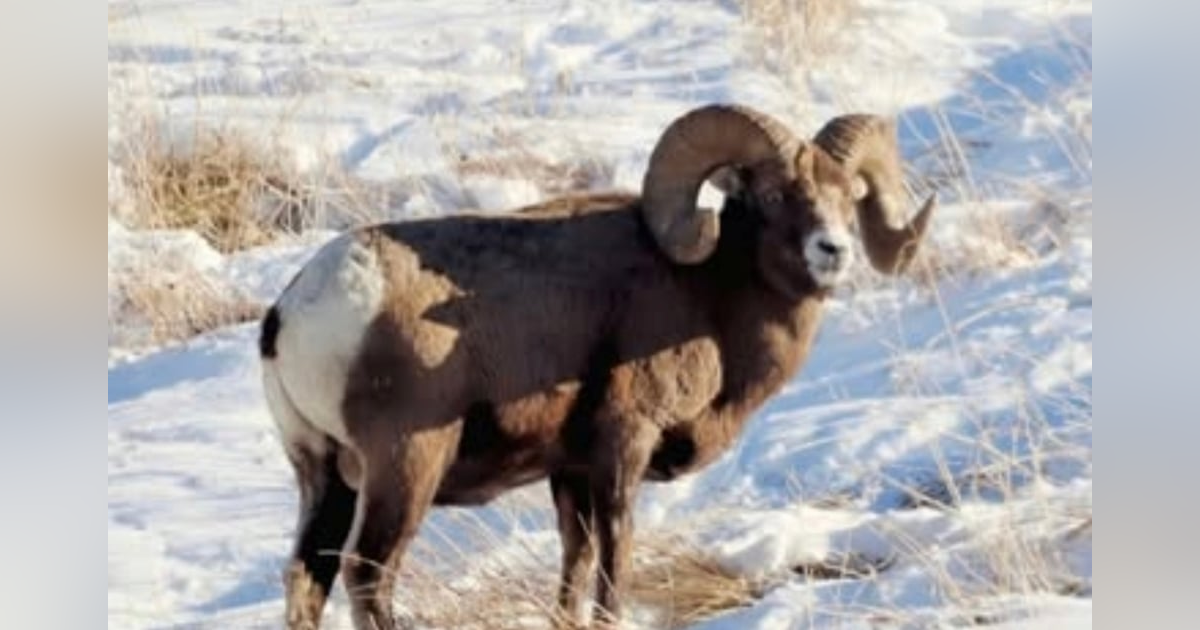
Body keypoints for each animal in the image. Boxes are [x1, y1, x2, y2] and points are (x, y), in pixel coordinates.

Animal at [258, 103, 936, 629]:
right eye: (772, 196)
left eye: (849, 198)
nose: (833, 251)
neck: (708, 296)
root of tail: (292, 313)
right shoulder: (622, 448)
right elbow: (615, 556)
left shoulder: (570, 471)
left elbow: (576, 561)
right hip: (404, 468)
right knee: (368, 575)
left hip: (326, 477)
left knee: (307, 578)